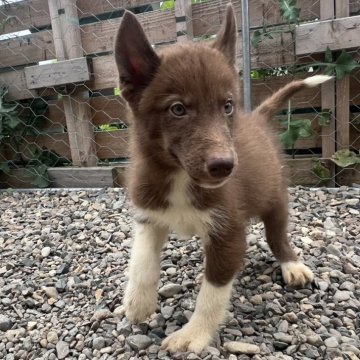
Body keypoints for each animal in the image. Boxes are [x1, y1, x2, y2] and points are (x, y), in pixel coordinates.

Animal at [114, 3, 330, 354]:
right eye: (177, 109)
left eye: (227, 106)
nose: (225, 166)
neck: (180, 178)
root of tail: (256, 116)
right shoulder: (150, 211)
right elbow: (141, 258)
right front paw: (137, 302)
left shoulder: (228, 232)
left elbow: (212, 292)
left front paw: (193, 334)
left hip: (275, 195)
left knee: (277, 234)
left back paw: (291, 264)